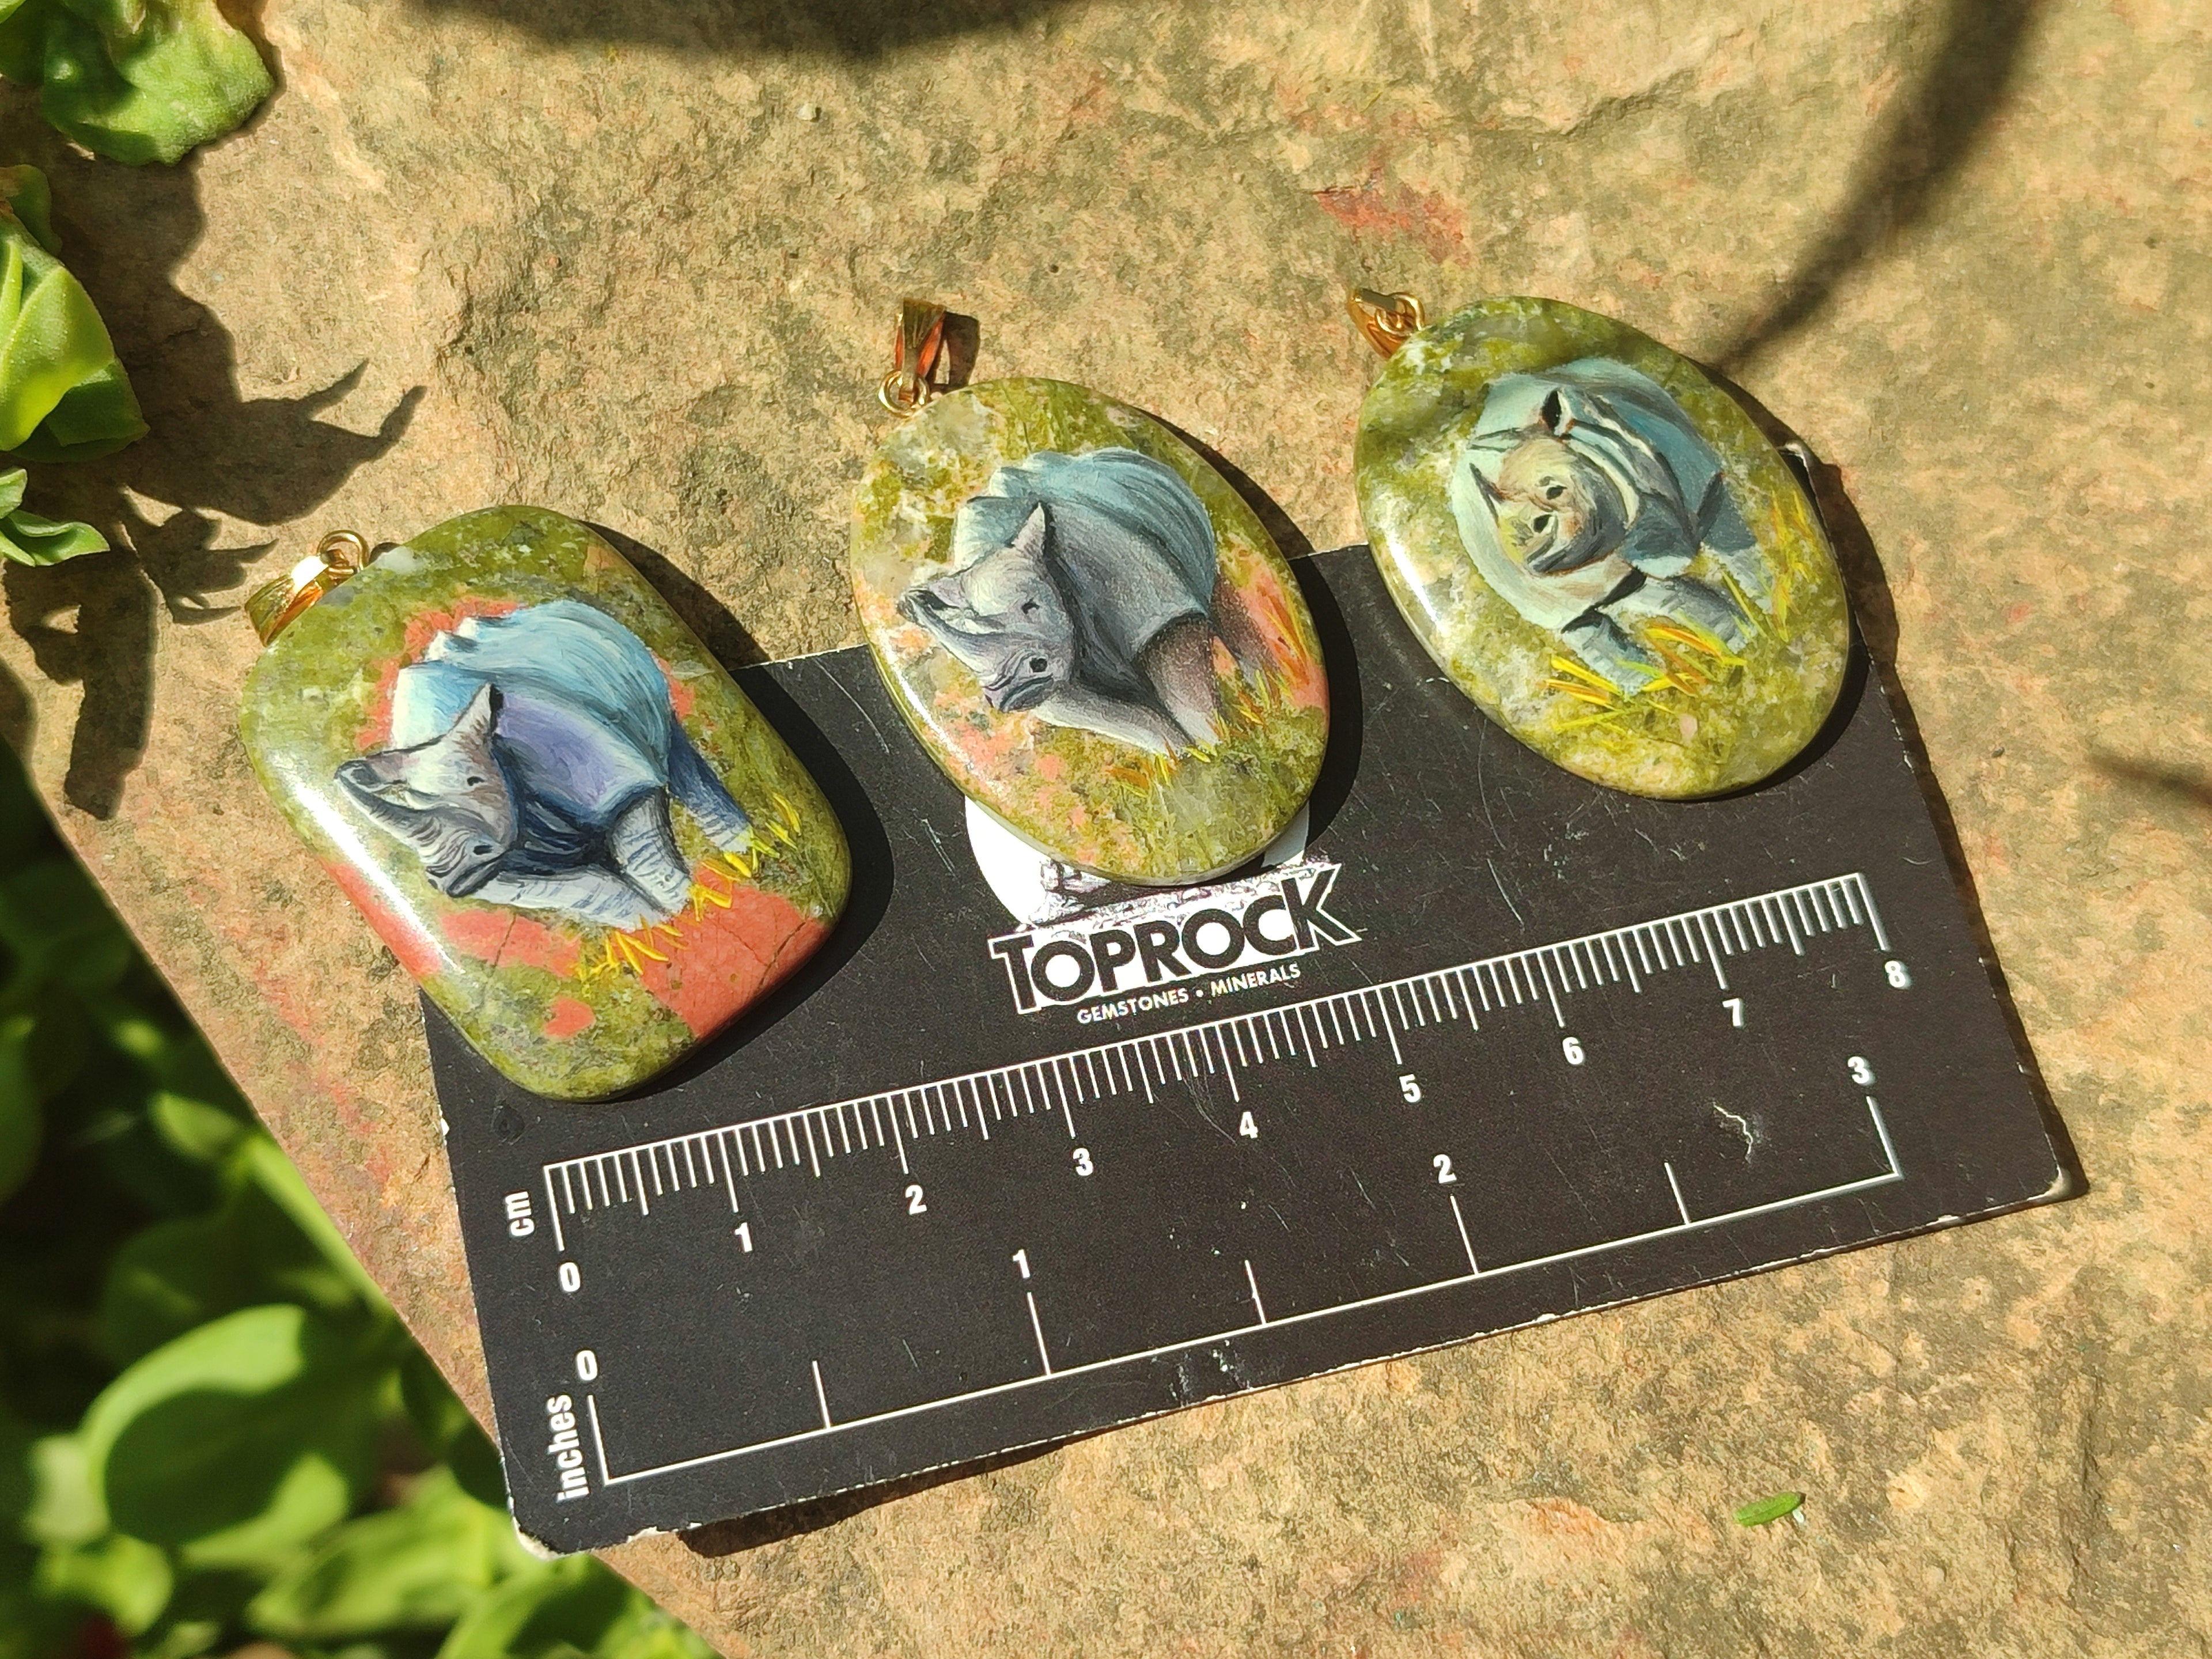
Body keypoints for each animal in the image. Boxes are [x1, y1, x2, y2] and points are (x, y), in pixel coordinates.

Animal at [335, 599, 751, 932]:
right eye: (411, 802)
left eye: (474, 780)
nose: (444, 879)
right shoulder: (508, 876)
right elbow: (607, 898)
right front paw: (670, 935)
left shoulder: (615, 788)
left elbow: (649, 862)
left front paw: (700, 916)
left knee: (673, 746)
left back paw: (748, 855)